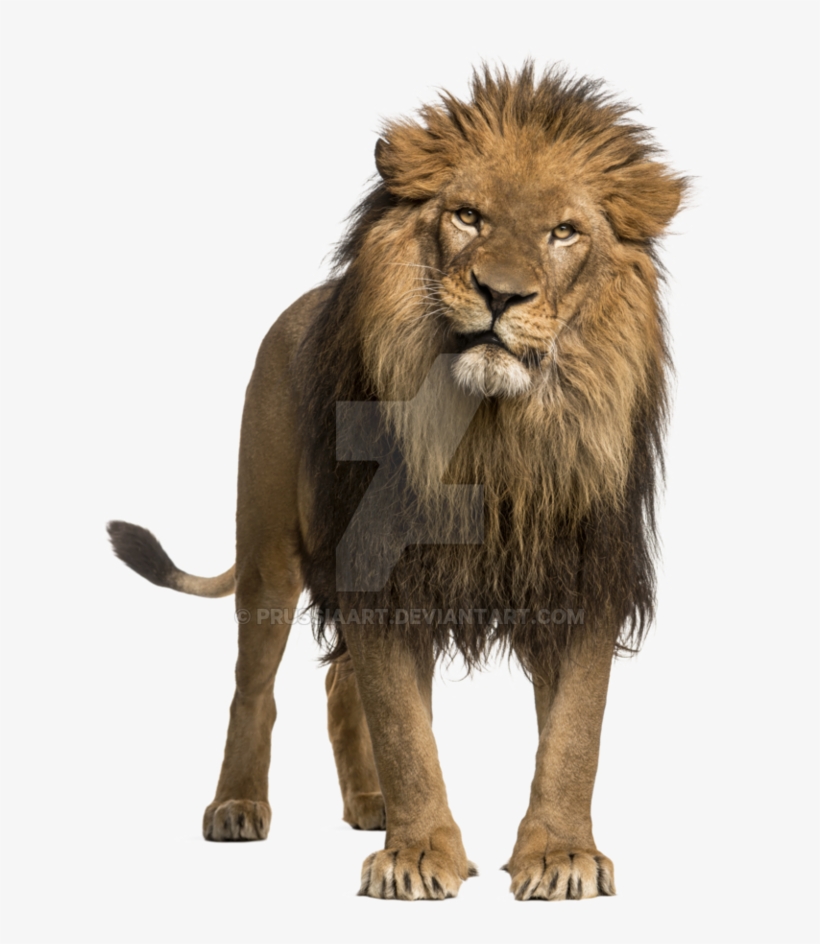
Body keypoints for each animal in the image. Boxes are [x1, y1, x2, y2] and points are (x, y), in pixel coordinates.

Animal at [108, 65, 685, 901]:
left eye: (564, 233)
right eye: (468, 216)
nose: (501, 295)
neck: (492, 436)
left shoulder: (581, 573)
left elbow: (575, 733)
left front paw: (560, 855)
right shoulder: (380, 567)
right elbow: (405, 729)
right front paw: (418, 857)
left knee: (338, 684)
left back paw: (370, 804)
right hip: (268, 553)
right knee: (254, 687)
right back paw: (239, 805)